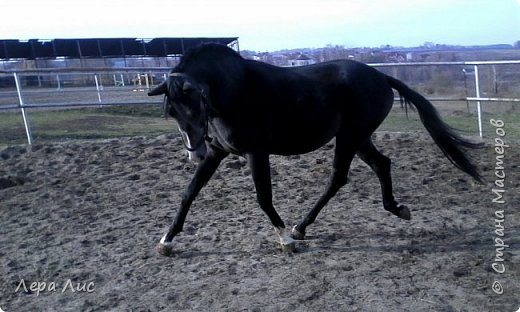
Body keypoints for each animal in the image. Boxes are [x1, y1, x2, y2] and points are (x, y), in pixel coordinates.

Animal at [148, 42, 482, 255]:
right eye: (172, 111)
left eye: (195, 104)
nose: (194, 153)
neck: (235, 90)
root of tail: (380, 76)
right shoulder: (218, 153)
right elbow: (189, 192)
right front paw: (167, 241)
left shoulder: (257, 152)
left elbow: (263, 198)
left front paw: (285, 239)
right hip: (359, 138)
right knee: (381, 164)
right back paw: (397, 209)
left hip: (350, 137)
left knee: (338, 177)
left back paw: (299, 228)